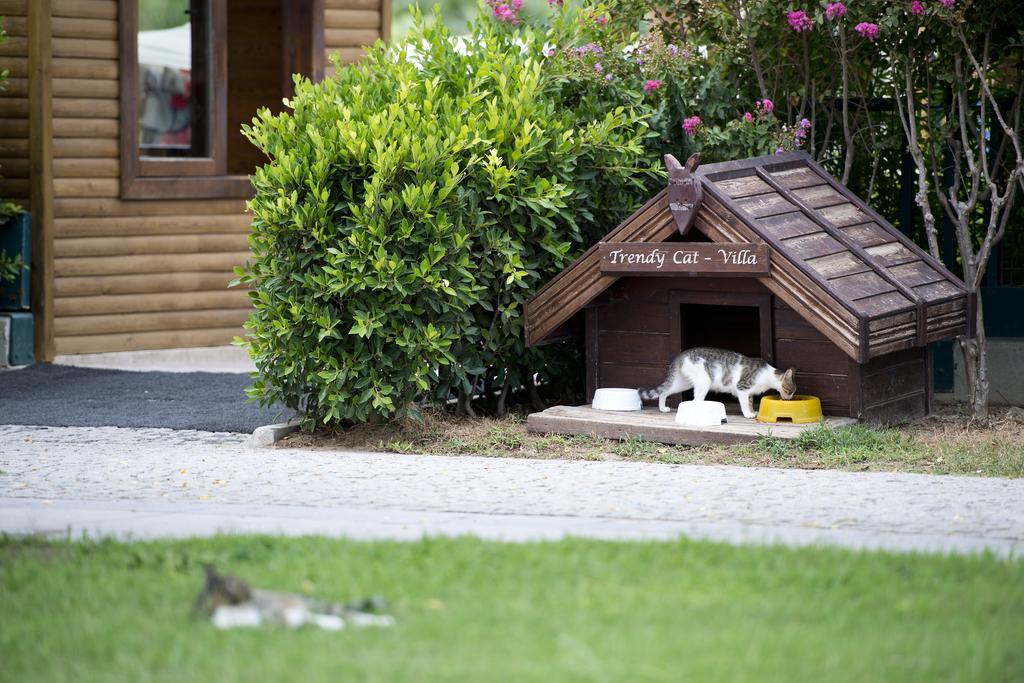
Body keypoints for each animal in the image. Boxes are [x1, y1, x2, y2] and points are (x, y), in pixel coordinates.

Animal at [638, 348, 798, 417]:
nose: (789, 399)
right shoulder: (742, 387)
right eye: (789, 391)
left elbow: (750, 402)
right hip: (704, 381)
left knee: (664, 392)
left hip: (682, 383)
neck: (768, 375)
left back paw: (662, 408)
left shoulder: (749, 392)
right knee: (695, 400)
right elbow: (744, 404)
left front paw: (753, 411)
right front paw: (748, 414)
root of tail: (681, 355)